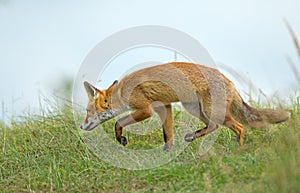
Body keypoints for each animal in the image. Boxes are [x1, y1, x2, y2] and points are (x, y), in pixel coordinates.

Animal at [79, 62, 288, 150]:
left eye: (88, 112)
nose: (81, 126)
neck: (122, 91)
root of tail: (230, 81)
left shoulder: (145, 109)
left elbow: (118, 123)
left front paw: (121, 139)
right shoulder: (164, 106)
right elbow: (168, 133)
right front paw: (167, 152)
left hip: (210, 110)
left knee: (240, 126)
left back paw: (239, 147)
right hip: (196, 109)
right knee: (213, 126)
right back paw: (192, 136)